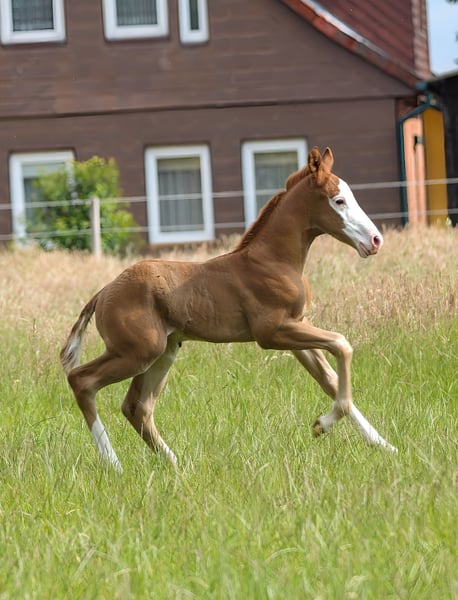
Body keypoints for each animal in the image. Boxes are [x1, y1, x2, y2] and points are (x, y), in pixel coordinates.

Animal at [61, 146, 397, 473]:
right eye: (338, 200)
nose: (375, 240)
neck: (273, 261)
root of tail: (104, 292)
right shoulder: (273, 333)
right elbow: (342, 344)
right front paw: (322, 425)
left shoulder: (296, 330)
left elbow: (330, 379)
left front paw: (385, 445)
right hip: (136, 352)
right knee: (82, 381)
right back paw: (114, 464)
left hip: (163, 352)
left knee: (137, 407)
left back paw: (176, 465)